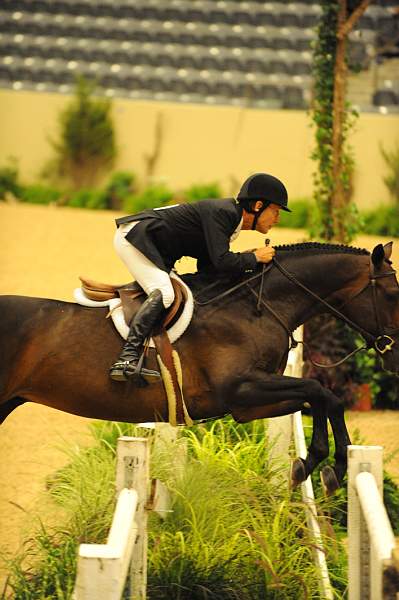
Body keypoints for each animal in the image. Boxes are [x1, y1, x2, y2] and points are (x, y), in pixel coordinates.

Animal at [0, 241, 399, 494]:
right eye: (394, 295)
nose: (394, 358)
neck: (255, 308)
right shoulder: (240, 389)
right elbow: (321, 393)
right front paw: (331, 466)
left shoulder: (248, 405)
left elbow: (320, 399)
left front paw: (314, 464)